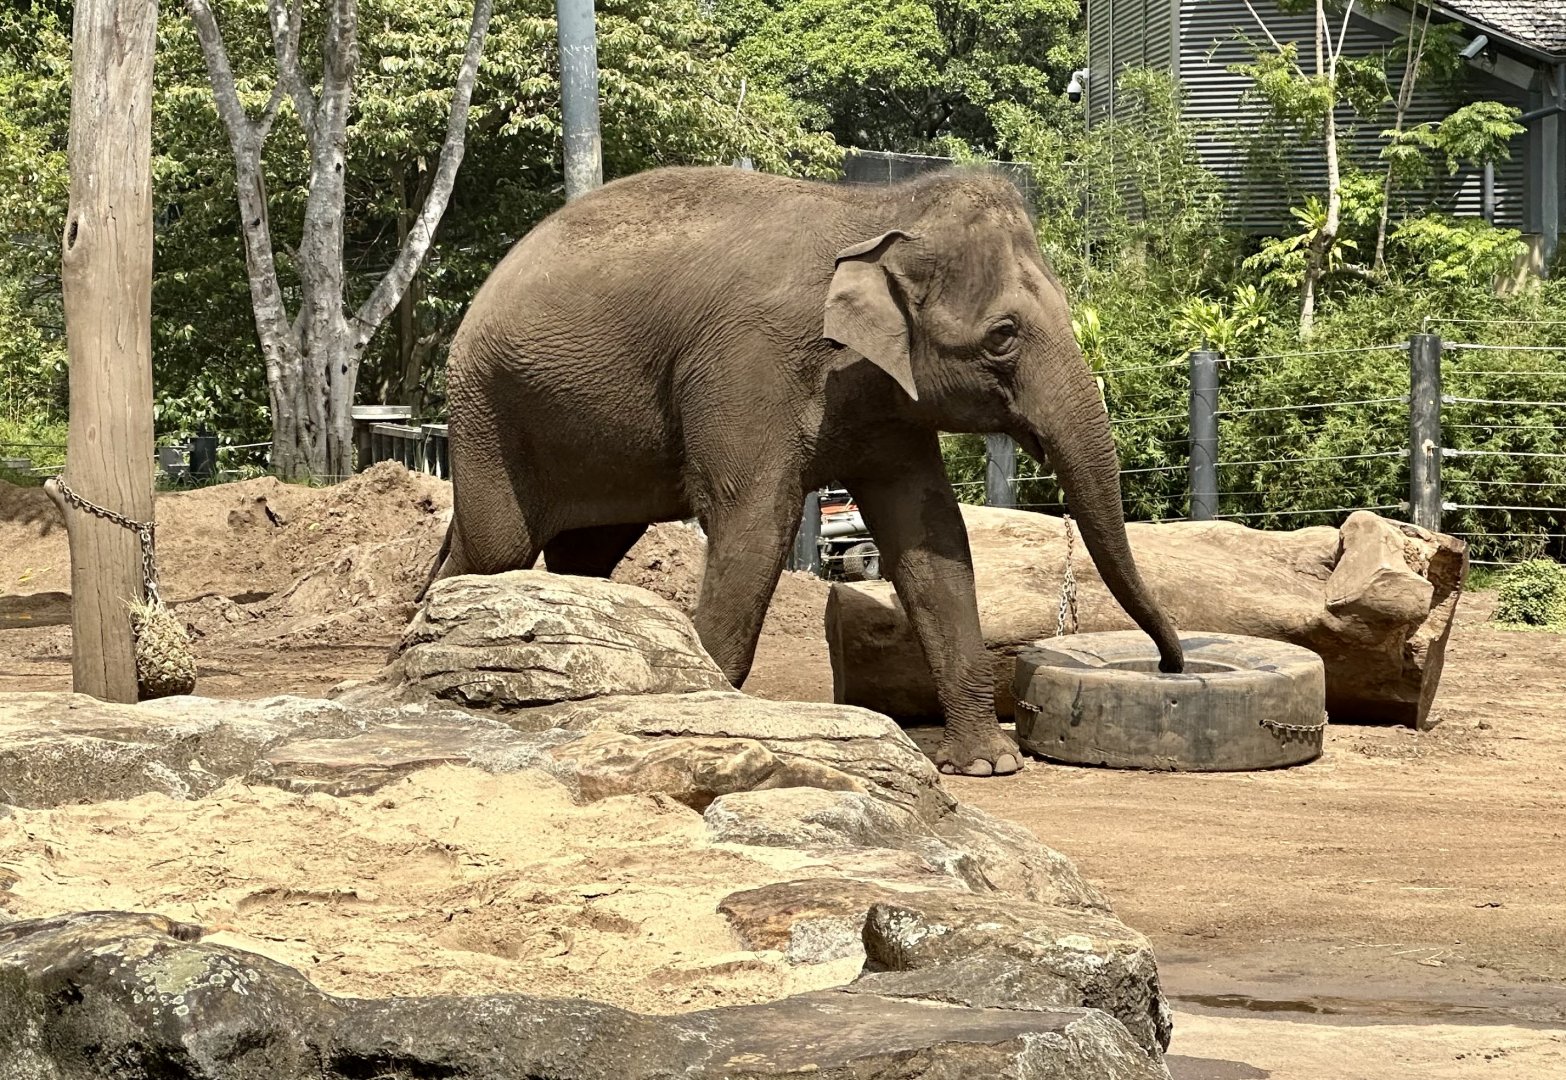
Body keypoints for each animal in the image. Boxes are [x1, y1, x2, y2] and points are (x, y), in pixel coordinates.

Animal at [425, 164, 1183, 777]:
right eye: (1003, 336)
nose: (1170, 666)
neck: (876, 211)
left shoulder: (885, 401)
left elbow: (932, 535)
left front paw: (986, 766)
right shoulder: (745, 364)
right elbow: (755, 522)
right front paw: (708, 715)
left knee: (580, 555)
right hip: (489, 409)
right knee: (497, 548)